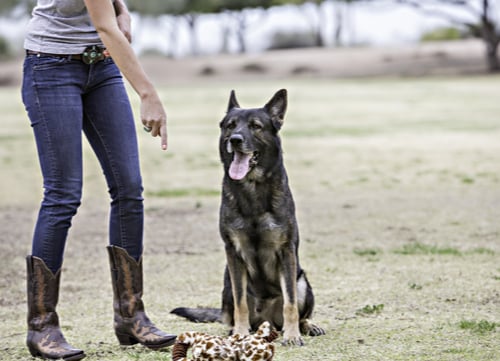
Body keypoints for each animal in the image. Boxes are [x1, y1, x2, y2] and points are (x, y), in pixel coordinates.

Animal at [171, 88, 324, 344]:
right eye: (230, 125)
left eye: (255, 126)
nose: (235, 140)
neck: (252, 188)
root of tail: (267, 321)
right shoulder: (234, 254)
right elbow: (241, 303)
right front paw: (240, 333)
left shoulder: (286, 252)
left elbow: (291, 302)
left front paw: (292, 335)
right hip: (227, 284)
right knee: (233, 311)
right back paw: (237, 329)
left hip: (302, 281)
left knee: (299, 309)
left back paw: (306, 326)